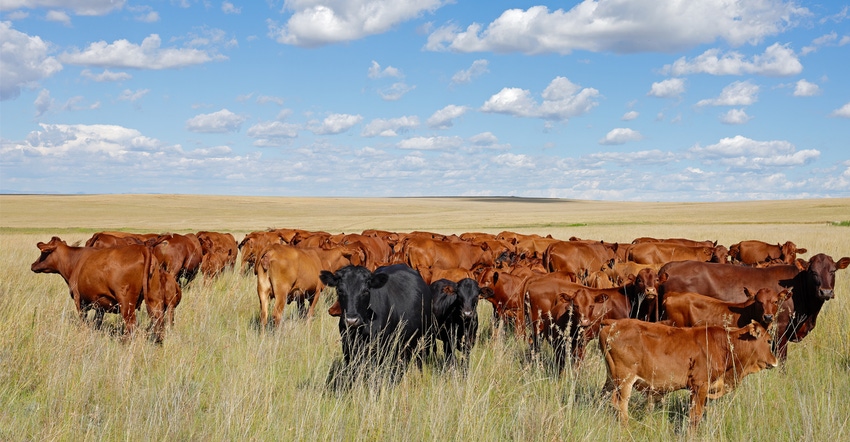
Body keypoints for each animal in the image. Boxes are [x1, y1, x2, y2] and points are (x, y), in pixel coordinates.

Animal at [596, 318, 776, 428]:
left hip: (611, 379)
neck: (725, 344)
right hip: (624, 381)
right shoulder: (700, 386)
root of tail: (612, 323)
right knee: (620, 405)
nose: (775, 361)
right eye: (769, 341)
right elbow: (695, 416)